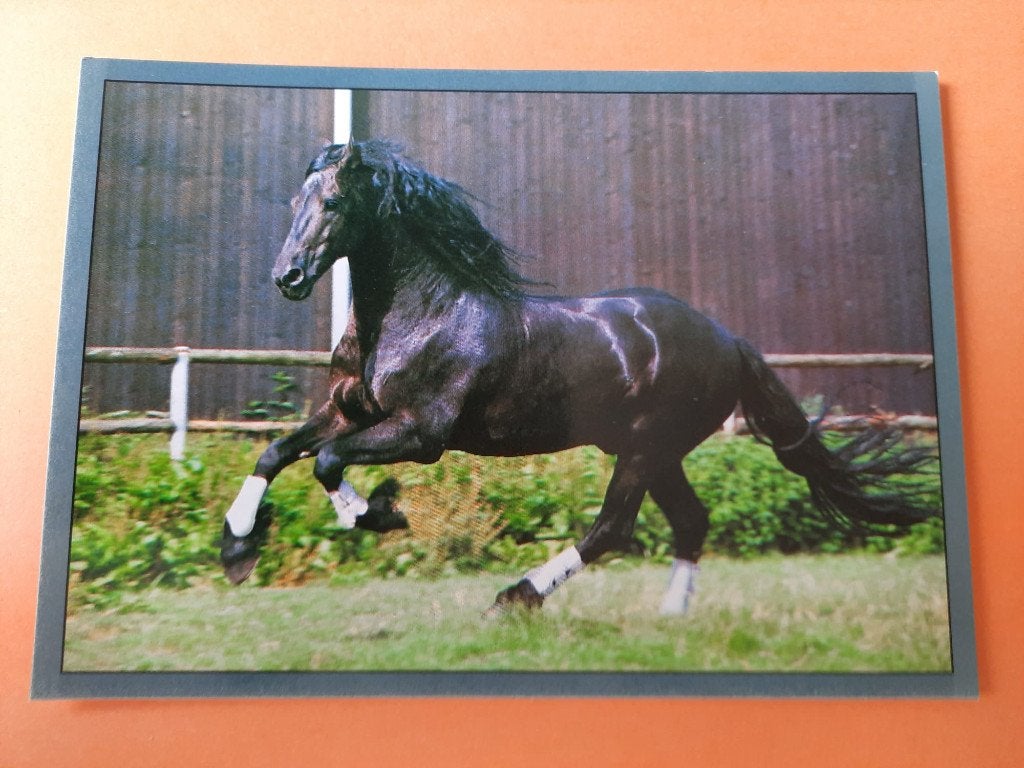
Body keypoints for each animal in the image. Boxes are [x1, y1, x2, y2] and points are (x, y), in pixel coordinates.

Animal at [220, 139, 937, 615]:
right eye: (296, 199)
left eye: (335, 200)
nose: (287, 277)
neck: (417, 316)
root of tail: (728, 340)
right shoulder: (349, 411)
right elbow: (277, 451)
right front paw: (237, 548)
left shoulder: (421, 434)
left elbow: (327, 462)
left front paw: (379, 513)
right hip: (653, 450)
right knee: (690, 521)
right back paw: (670, 618)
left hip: (645, 447)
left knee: (614, 527)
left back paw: (517, 596)